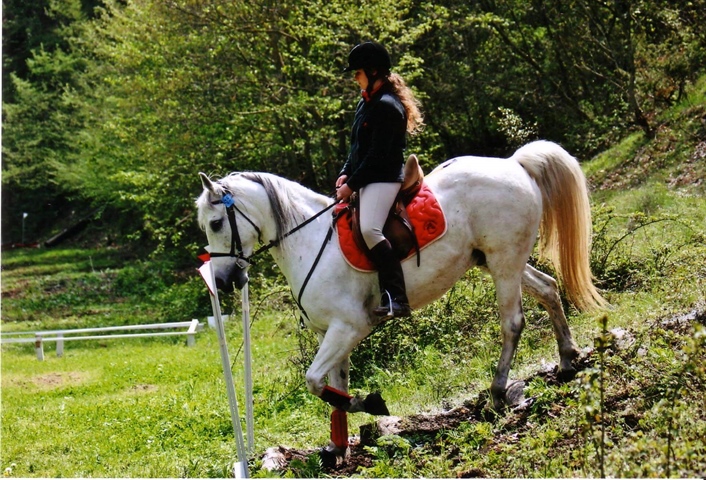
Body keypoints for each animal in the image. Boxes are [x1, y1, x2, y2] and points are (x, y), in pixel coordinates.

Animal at [195, 139, 604, 446]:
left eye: (215, 223)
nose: (223, 281)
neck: (309, 239)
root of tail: (514, 164)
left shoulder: (348, 327)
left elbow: (314, 382)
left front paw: (373, 404)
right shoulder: (333, 334)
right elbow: (334, 390)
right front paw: (338, 448)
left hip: (504, 261)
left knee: (512, 322)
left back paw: (497, 390)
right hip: (497, 261)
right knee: (548, 289)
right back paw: (567, 360)